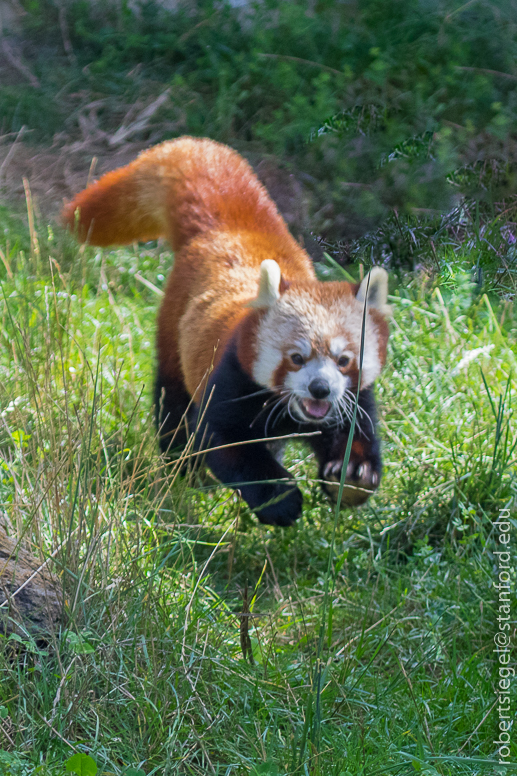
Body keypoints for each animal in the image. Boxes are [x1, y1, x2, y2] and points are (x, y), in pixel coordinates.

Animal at [62, 138, 390, 528]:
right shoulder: (232, 379)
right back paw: (185, 473)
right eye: (296, 358)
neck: (293, 413)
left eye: (343, 360)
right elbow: (224, 442)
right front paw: (279, 499)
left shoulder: (352, 400)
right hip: (175, 337)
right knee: (173, 408)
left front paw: (352, 477)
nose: (320, 389)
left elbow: (355, 436)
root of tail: (228, 230)